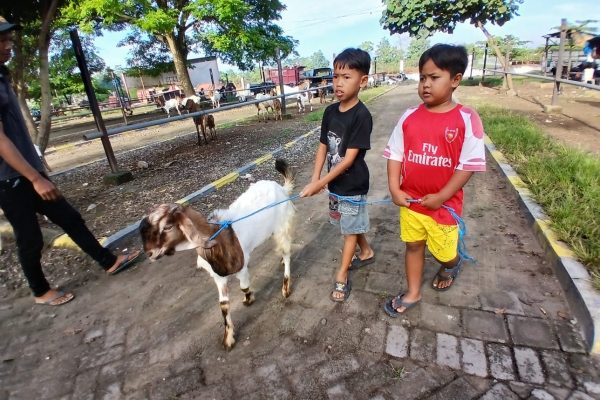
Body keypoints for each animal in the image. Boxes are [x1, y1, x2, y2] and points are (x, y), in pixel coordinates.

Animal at [139, 159, 295, 350]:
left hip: (282, 226)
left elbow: (243, 286)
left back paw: (285, 287)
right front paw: (228, 338)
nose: (149, 253)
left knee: (287, 251)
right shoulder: (218, 277)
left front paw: (249, 298)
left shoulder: (241, 267)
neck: (217, 237)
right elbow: (223, 305)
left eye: (167, 226)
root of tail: (281, 188)